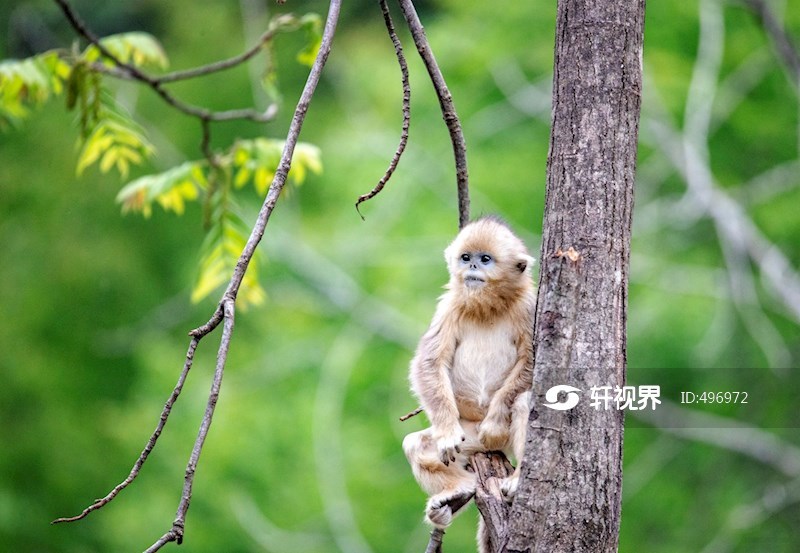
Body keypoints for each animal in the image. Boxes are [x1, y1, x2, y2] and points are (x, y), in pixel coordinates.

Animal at [404, 217, 536, 536]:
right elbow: (429, 362)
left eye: (485, 259)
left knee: (524, 401)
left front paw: (496, 421)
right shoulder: (448, 306)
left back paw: (516, 480)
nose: (472, 266)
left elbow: (532, 359)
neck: (488, 307)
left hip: (493, 439)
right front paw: (447, 434)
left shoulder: (529, 306)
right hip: (470, 435)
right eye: (466, 257)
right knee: (416, 444)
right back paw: (458, 491)